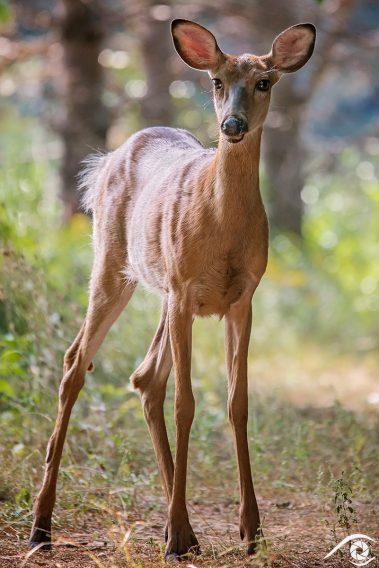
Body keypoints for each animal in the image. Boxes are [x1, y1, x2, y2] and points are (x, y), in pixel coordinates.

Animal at [29, 17, 316, 560]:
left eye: (264, 82)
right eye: (216, 82)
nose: (232, 125)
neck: (223, 226)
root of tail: (107, 159)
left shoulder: (242, 297)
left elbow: (237, 403)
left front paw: (251, 531)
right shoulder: (185, 290)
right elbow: (187, 405)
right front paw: (182, 535)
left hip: (162, 292)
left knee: (145, 376)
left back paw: (184, 533)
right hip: (114, 263)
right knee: (76, 361)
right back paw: (42, 527)